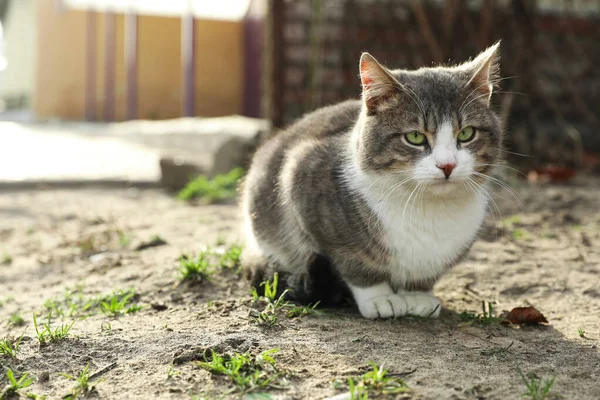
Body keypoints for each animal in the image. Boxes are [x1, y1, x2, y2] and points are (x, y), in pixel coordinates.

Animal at [241, 43, 504, 318]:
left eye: (466, 133)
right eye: (415, 137)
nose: (447, 165)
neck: (427, 206)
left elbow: (423, 275)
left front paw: (417, 295)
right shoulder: (303, 177)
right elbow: (354, 263)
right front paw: (380, 298)